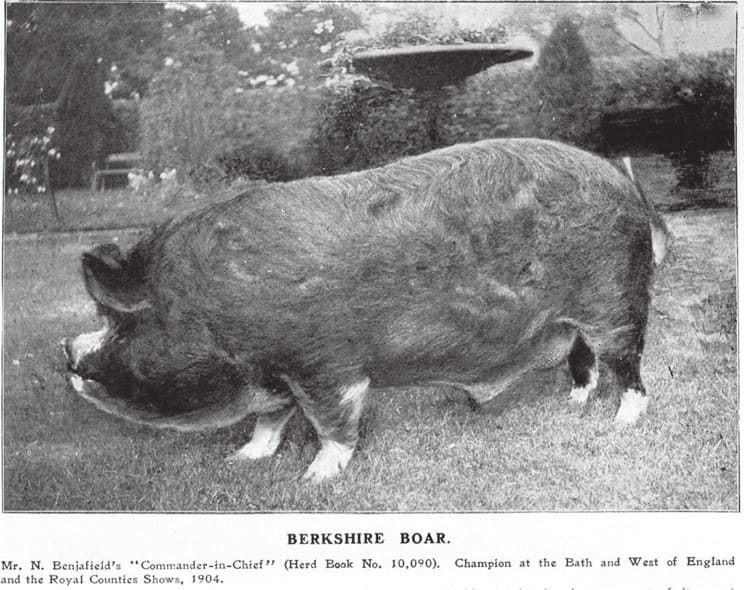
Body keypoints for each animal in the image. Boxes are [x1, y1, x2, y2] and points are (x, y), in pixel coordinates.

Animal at [62, 138, 668, 483]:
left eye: (123, 322)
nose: (65, 351)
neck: (212, 308)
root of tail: (626, 185)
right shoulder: (276, 373)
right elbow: (268, 422)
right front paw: (242, 460)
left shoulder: (324, 365)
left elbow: (333, 422)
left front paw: (316, 480)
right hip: (572, 319)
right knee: (583, 360)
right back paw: (573, 403)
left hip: (616, 302)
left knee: (630, 366)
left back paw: (621, 422)